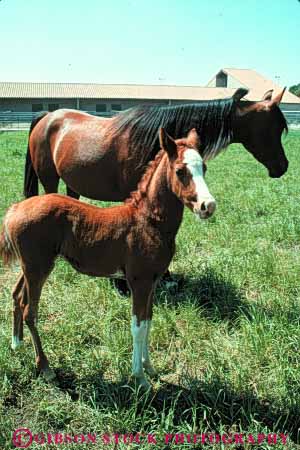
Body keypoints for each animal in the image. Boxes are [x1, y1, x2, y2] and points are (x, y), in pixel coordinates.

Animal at [0, 128, 216, 388]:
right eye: (180, 171)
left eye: (204, 167)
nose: (208, 206)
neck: (148, 221)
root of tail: (15, 209)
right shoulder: (139, 282)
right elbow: (138, 327)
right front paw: (140, 378)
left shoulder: (153, 282)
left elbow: (148, 321)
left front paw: (150, 368)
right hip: (38, 268)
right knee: (30, 312)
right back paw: (45, 368)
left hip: (30, 266)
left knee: (17, 295)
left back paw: (17, 344)